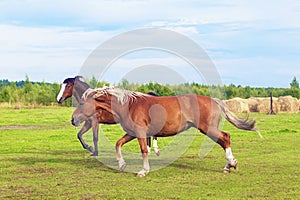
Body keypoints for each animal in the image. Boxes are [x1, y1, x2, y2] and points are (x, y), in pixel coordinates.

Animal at [73, 87, 262, 177]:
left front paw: (143, 171)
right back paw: (228, 166)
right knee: (224, 140)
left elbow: (144, 150)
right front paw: (122, 164)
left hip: (208, 128)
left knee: (225, 138)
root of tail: (214, 100)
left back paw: (231, 164)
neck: (129, 105)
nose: (73, 119)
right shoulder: (133, 133)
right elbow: (118, 144)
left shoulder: (140, 133)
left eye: (81, 103)